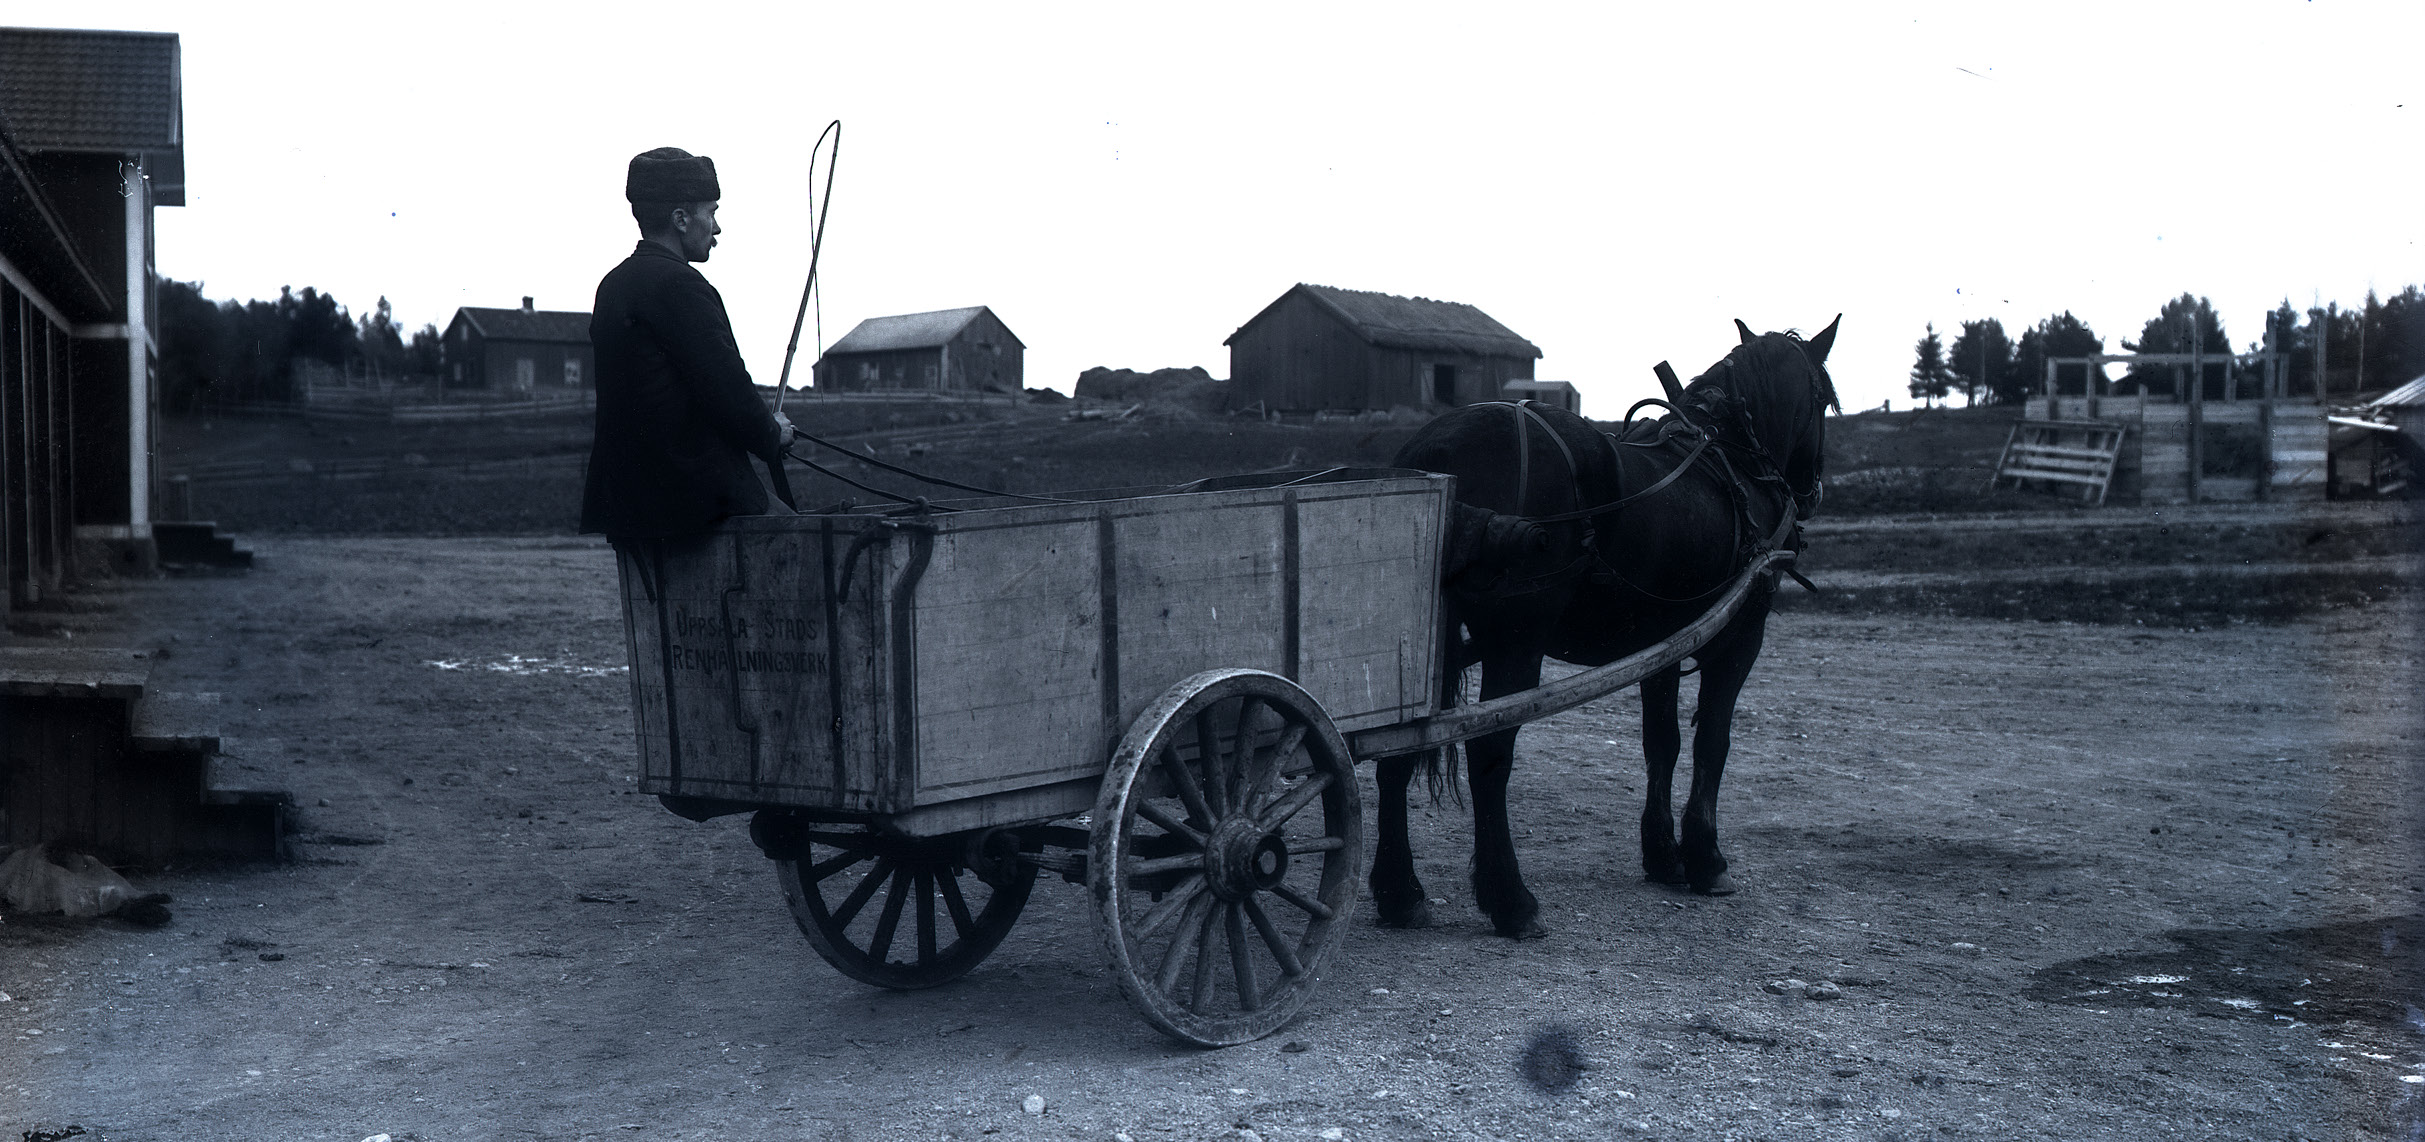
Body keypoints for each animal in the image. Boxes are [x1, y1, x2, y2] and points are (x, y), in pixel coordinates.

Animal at [1367, 320, 1833, 940]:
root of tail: (1437, 451)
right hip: (1516, 640)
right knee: (1490, 750)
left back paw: (1399, 892)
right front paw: (1706, 860)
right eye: (1824, 399)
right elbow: (1712, 741)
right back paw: (1510, 899)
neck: (1732, 461)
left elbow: (1662, 742)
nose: (1810, 490)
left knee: (1401, 745)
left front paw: (1664, 856)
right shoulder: (1738, 639)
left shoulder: (1662, 644)